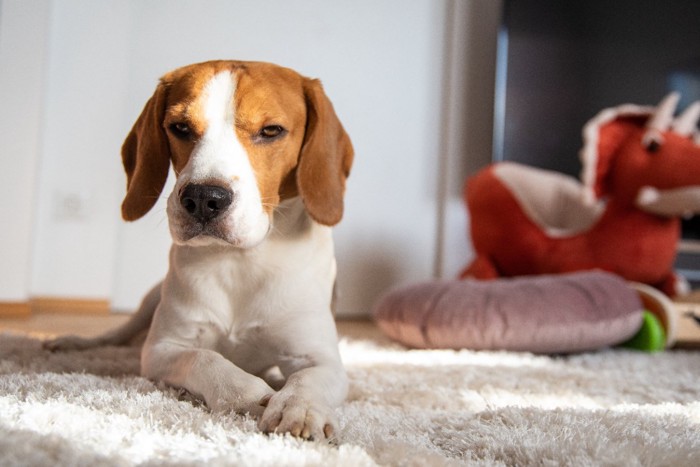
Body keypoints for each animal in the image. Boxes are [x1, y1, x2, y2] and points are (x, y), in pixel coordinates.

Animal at [43, 61, 352, 442]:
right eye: (180, 128)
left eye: (271, 131)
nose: (204, 198)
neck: (240, 262)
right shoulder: (162, 349)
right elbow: (205, 359)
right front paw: (248, 394)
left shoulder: (320, 357)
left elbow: (306, 379)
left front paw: (299, 408)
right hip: (150, 301)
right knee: (117, 334)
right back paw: (74, 342)